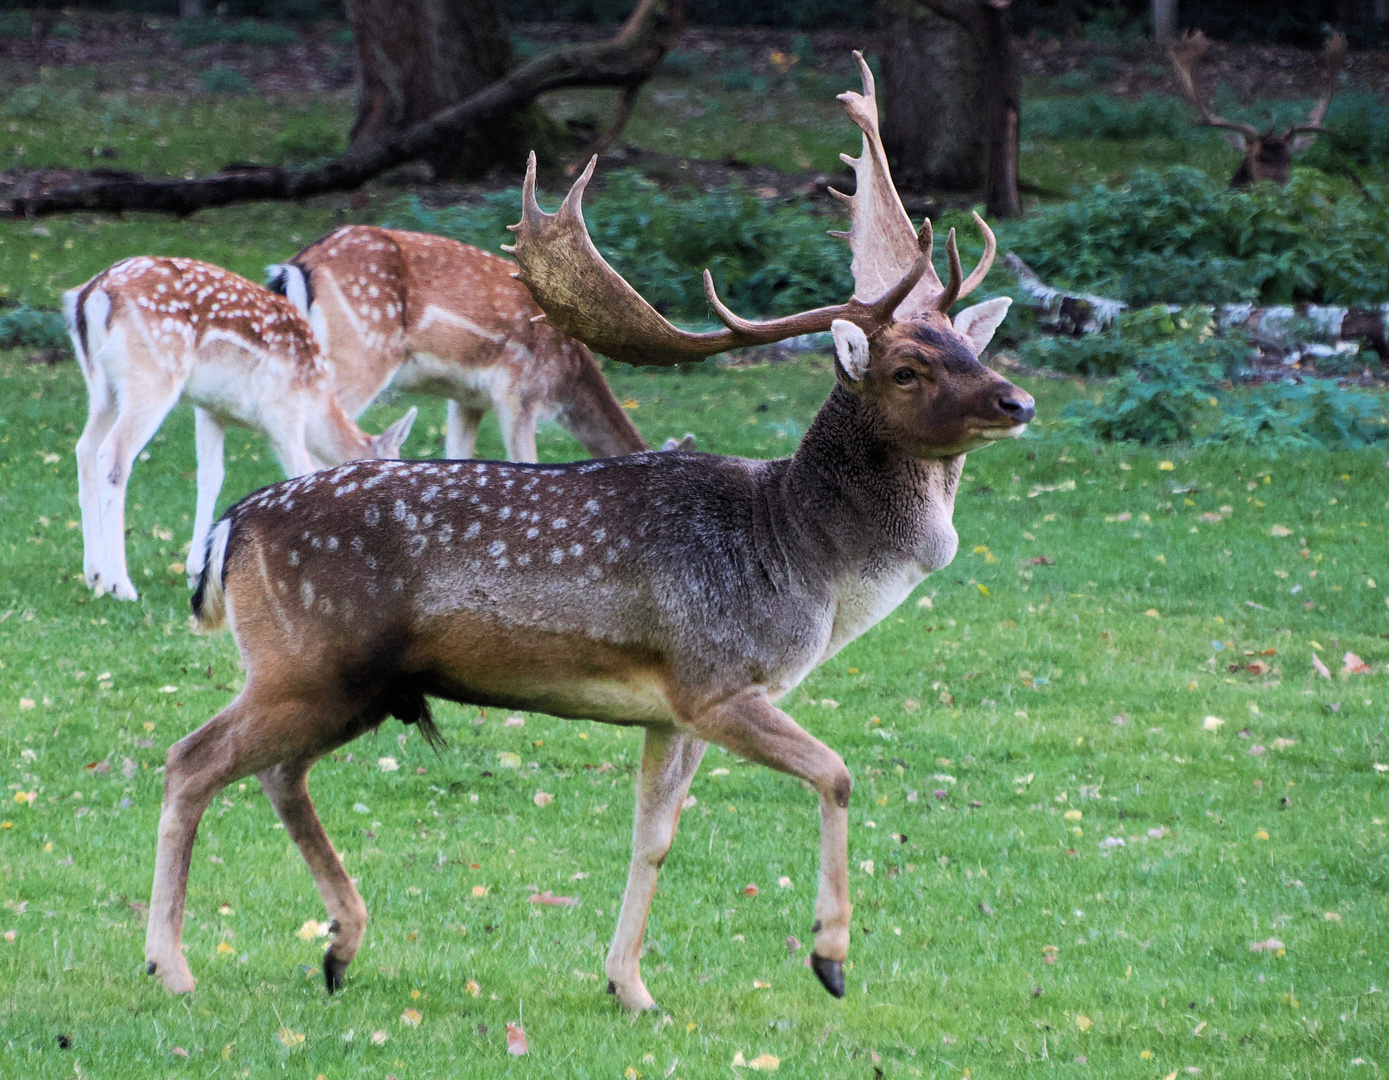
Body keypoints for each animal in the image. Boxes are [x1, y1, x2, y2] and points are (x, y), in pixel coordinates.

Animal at [66, 256, 411, 602]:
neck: (317, 401)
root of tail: (93, 295)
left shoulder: (210, 408)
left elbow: (210, 477)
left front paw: (196, 571)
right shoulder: (282, 413)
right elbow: (302, 474)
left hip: (102, 389)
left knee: (85, 447)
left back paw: (93, 574)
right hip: (152, 376)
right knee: (114, 454)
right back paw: (120, 584)